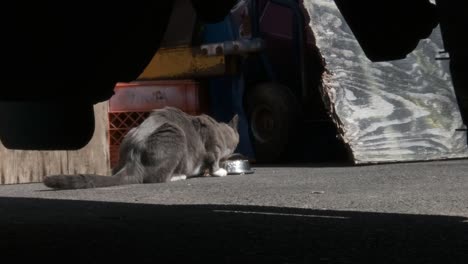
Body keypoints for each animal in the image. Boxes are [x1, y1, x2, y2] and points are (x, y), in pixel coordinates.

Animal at [43, 106, 239, 189]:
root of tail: (133, 157)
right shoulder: (213, 147)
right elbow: (214, 159)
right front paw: (219, 171)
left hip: (131, 132)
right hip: (174, 134)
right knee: (155, 178)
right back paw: (178, 176)